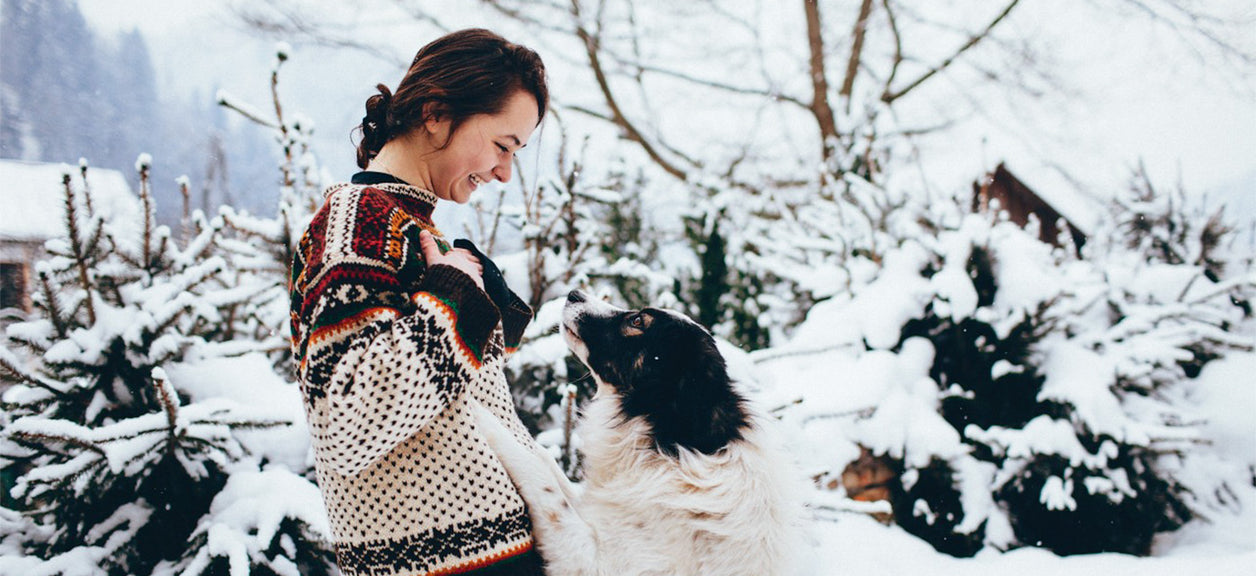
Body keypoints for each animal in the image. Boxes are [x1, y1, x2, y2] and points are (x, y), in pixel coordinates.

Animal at [474, 293, 798, 576]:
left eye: (638, 321)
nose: (574, 293)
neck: (668, 449)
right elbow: (545, 461)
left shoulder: (592, 561)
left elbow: (541, 480)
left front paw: (474, 410)